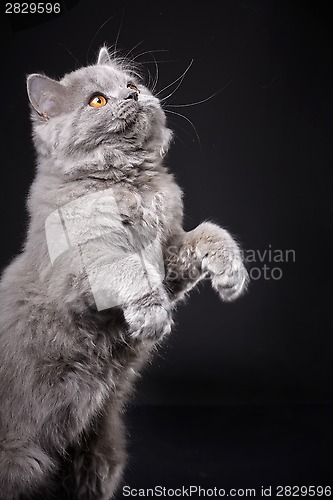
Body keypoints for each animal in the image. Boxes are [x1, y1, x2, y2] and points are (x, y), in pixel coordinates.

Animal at [0, 47, 246, 500]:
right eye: (97, 100)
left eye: (131, 85)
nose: (131, 97)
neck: (129, 184)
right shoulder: (80, 273)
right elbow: (127, 266)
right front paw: (152, 317)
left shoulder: (166, 255)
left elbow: (209, 232)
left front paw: (231, 273)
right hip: (23, 460)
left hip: (100, 455)